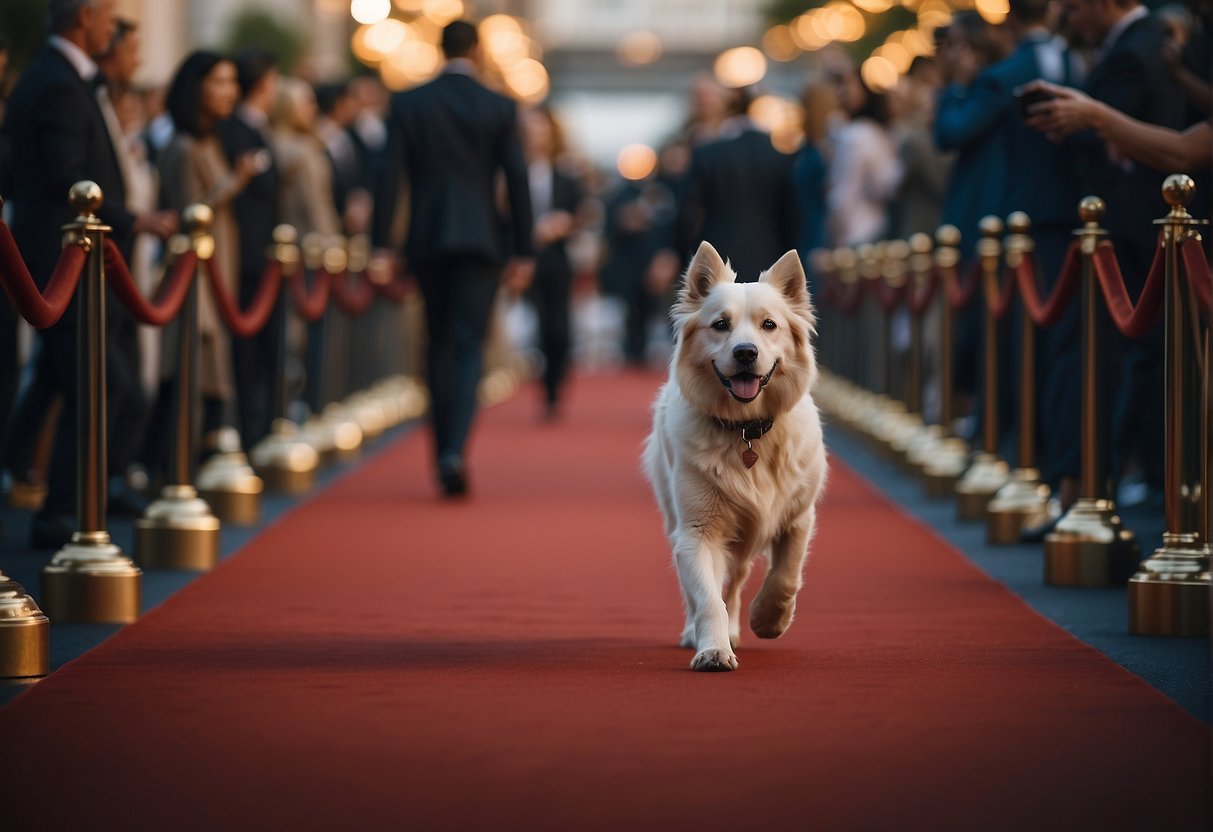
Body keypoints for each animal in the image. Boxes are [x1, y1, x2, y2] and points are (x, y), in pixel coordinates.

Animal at [645, 241, 824, 669]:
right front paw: (712, 649)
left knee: (739, 577)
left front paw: (769, 619)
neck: (746, 429)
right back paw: (700, 633)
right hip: (677, 517)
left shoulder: (799, 515)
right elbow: (708, 598)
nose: (745, 353)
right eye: (720, 325)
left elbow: (786, 574)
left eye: (769, 325)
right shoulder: (697, 532)